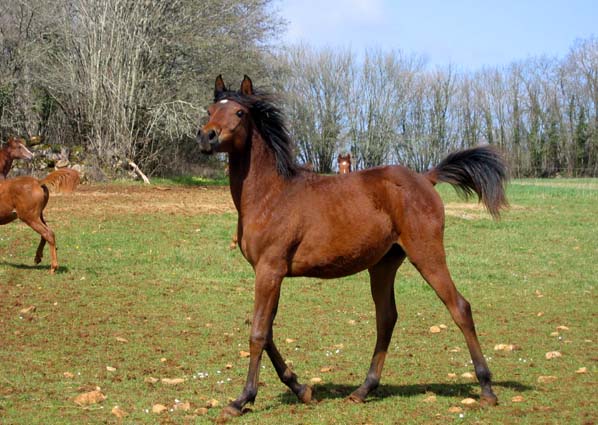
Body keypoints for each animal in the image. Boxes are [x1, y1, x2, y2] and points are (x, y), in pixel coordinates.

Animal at [197, 75, 508, 421]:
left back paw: (486, 389)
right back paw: (363, 390)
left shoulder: (269, 270)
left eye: (239, 113)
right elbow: (269, 331)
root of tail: (426, 178)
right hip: (384, 264)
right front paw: (301, 388)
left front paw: (241, 400)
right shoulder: (270, 274)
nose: (207, 136)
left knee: (459, 308)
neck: (272, 195)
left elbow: (258, 333)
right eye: (209, 109)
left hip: (427, 255)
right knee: (386, 318)